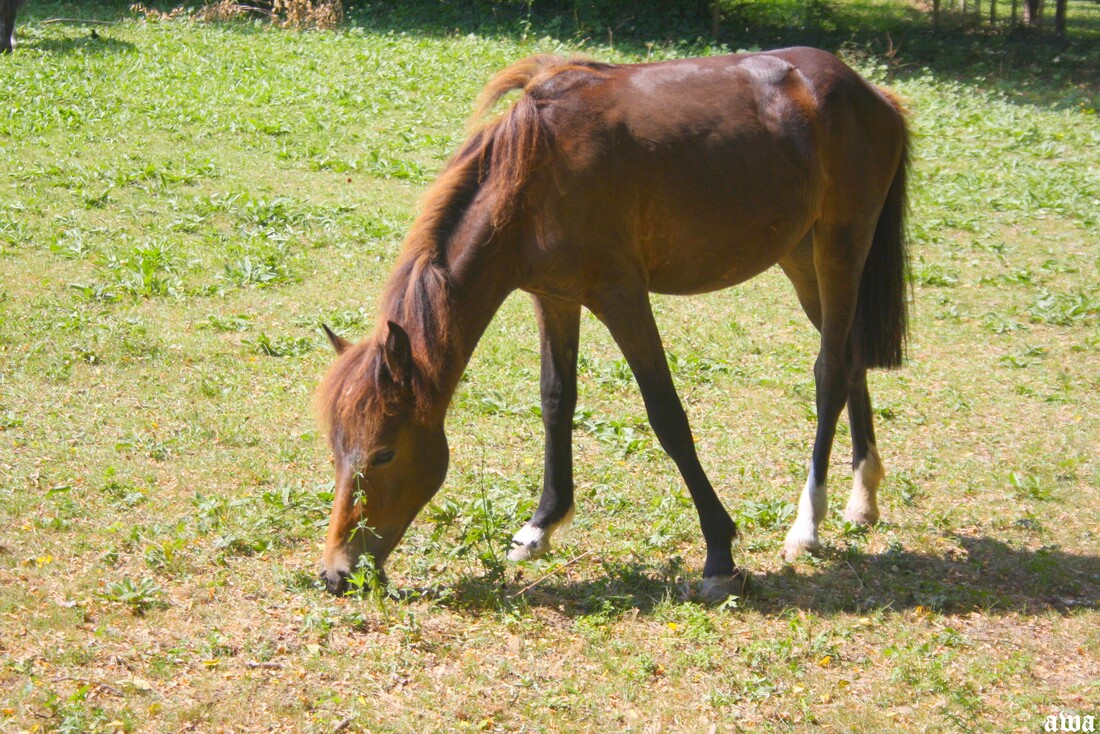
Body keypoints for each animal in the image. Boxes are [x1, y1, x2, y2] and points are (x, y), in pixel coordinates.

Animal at [314, 48, 906, 607]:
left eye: (384, 453)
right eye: (337, 452)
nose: (335, 573)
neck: (536, 173)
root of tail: (869, 92)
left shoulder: (622, 298)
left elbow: (668, 417)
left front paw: (719, 556)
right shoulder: (554, 297)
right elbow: (556, 401)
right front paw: (540, 526)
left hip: (840, 248)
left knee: (830, 371)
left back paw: (808, 524)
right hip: (802, 257)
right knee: (851, 359)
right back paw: (863, 498)